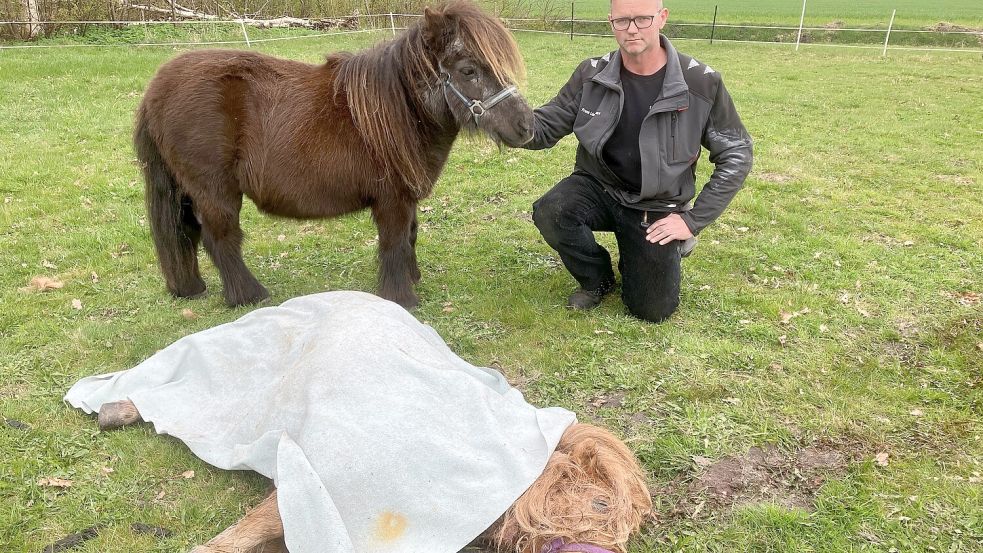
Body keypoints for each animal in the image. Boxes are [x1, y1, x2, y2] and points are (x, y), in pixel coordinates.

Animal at [135, 1, 534, 309]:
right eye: (468, 70)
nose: (526, 125)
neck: (397, 109)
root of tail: (155, 88)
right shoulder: (392, 199)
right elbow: (394, 242)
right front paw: (401, 297)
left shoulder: (407, 198)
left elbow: (411, 236)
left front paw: (412, 277)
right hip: (214, 190)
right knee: (220, 239)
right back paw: (248, 295)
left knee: (188, 235)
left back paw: (192, 288)